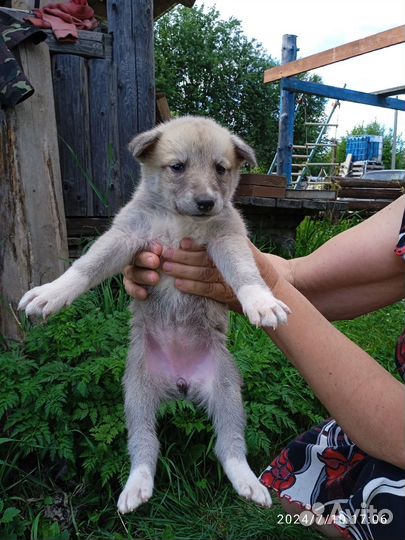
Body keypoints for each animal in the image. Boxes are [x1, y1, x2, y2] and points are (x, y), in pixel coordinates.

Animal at [19, 117, 288, 516]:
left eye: (221, 169)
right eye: (177, 167)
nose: (207, 202)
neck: (179, 219)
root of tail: (180, 385)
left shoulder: (227, 238)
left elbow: (244, 272)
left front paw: (261, 300)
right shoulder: (126, 237)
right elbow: (86, 266)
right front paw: (51, 292)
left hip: (226, 390)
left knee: (229, 443)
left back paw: (247, 481)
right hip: (137, 392)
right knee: (145, 445)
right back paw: (137, 485)